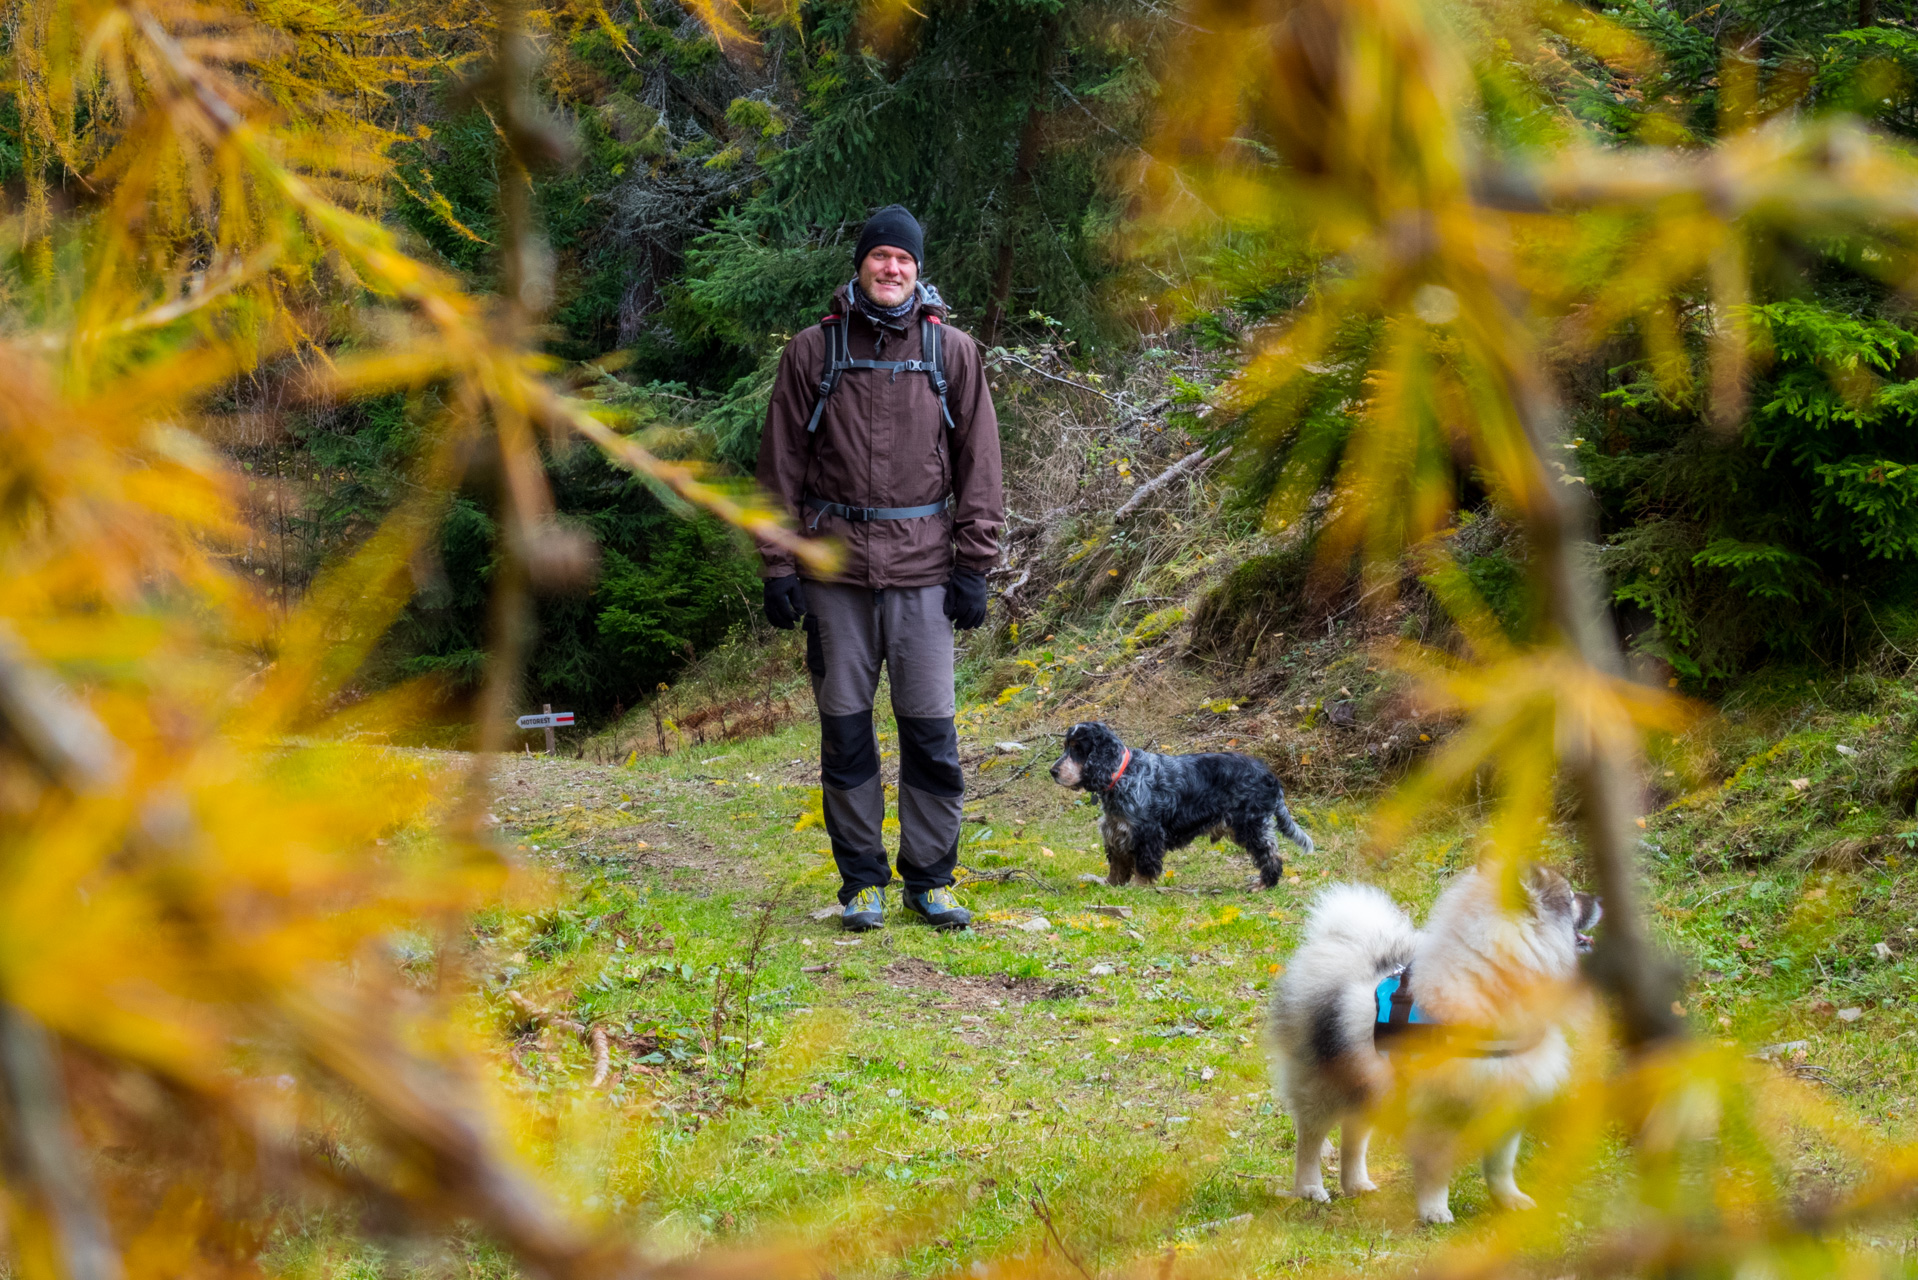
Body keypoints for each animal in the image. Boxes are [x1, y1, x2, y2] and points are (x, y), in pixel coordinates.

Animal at [1265, 867, 1595, 1228]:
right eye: (1572, 897)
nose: (1598, 899)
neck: (1493, 987)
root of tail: (1341, 948)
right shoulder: (1439, 1112)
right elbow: (1437, 1169)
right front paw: (1434, 1210)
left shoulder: (1508, 1099)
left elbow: (1500, 1166)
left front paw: (1508, 1200)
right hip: (1322, 1086)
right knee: (1310, 1140)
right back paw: (1310, 1188)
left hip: (1368, 1082)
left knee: (1354, 1132)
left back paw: (1356, 1184)